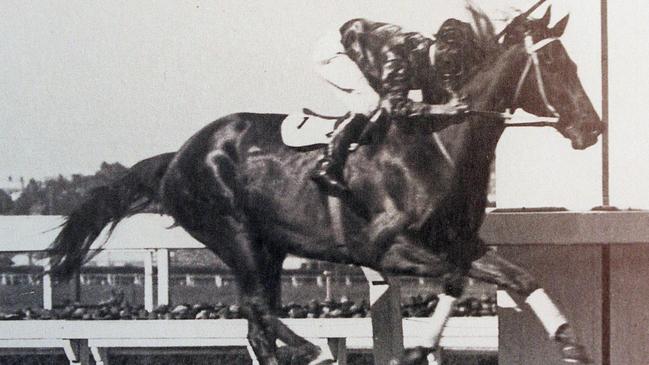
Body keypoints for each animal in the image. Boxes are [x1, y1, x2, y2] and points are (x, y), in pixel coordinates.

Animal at [46, 6, 604, 364]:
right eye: (554, 65)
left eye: (573, 63)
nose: (591, 128)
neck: (439, 145)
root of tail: (178, 157)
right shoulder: (385, 248)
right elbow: (452, 280)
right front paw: (417, 348)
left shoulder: (461, 243)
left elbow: (518, 278)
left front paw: (569, 341)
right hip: (235, 235)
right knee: (257, 310)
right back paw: (314, 351)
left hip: (269, 248)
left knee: (259, 324)